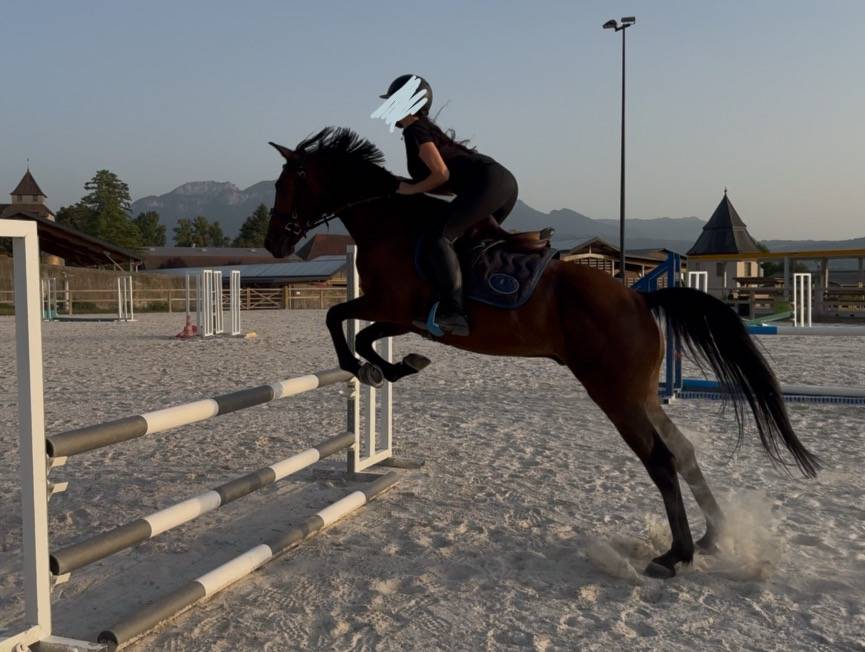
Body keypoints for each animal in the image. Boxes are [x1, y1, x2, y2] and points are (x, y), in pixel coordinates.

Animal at [264, 127, 819, 578]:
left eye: (285, 184)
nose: (273, 244)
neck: (389, 223)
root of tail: (639, 298)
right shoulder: (401, 316)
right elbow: (358, 333)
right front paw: (397, 367)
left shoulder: (393, 306)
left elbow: (341, 323)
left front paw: (372, 370)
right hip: (641, 393)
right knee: (681, 451)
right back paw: (711, 538)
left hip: (614, 394)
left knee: (660, 459)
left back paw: (674, 556)